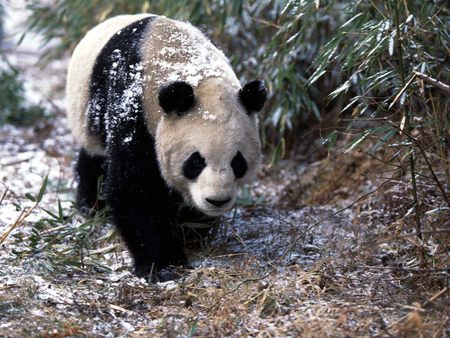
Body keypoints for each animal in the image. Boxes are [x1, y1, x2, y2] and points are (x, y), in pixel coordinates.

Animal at [67, 13, 268, 278]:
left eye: (238, 162)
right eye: (195, 162)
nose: (217, 200)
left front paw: (190, 231)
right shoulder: (133, 106)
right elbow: (135, 187)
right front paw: (164, 264)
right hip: (87, 113)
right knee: (93, 160)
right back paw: (92, 206)